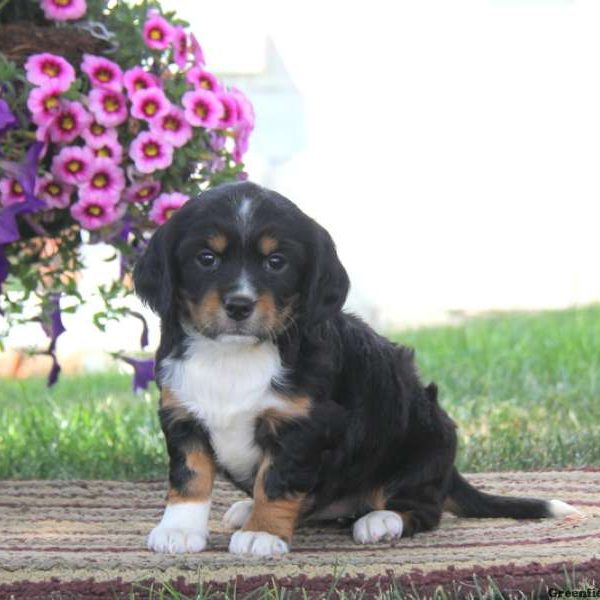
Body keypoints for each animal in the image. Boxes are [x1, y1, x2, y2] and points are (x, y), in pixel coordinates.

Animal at [135, 180, 576, 556]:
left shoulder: (302, 424)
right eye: (206, 259)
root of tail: (447, 470)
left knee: (423, 509)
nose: (239, 306)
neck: (234, 356)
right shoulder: (182, 414)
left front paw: (262, 533)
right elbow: (190, 476)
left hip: (421, 442)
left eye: (276, 262)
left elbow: (276, 481)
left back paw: (380, 521)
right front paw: (180, 530)